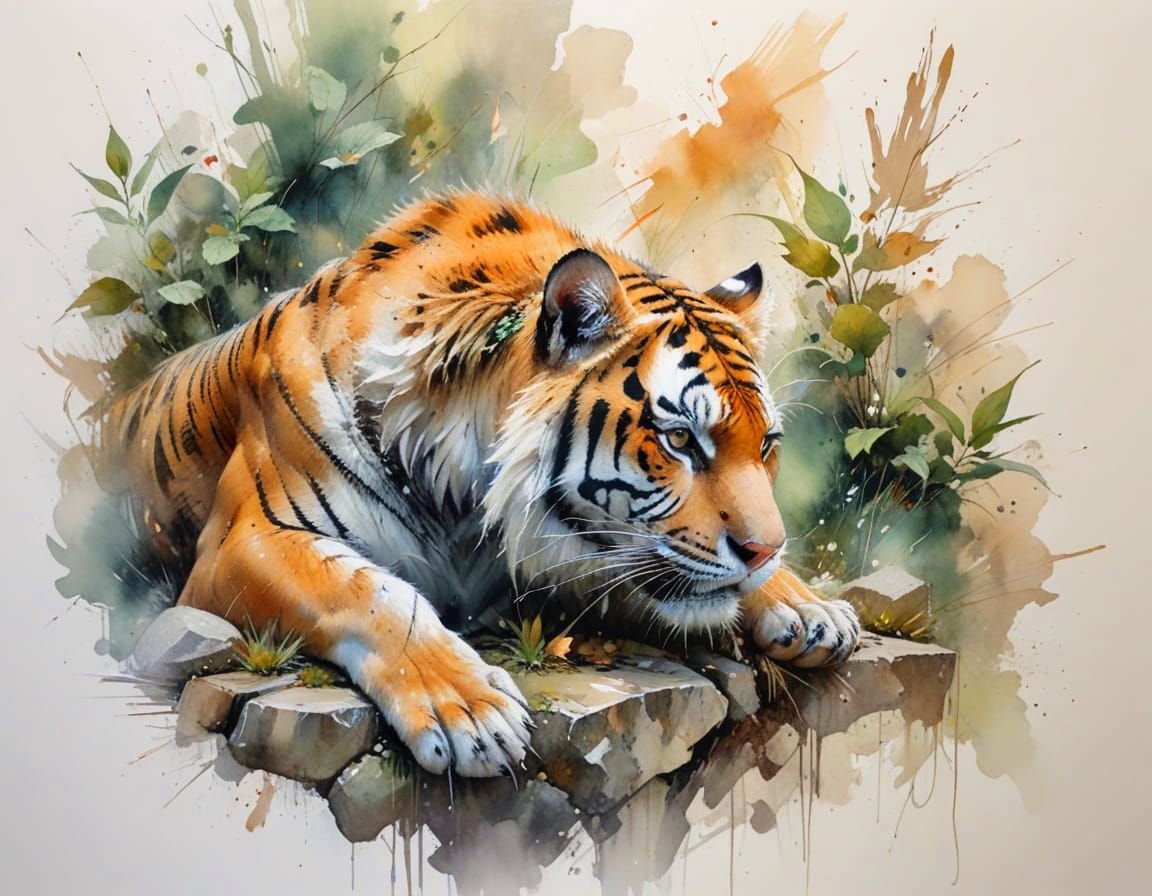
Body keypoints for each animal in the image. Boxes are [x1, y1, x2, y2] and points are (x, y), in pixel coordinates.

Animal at [102, 191, 860, 777]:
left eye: (766, 446)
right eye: (679, 440)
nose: (765, 552)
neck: (466, 503)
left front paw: (807, 606)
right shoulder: (242, 541)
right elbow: (369, 591)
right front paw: (470, 713)